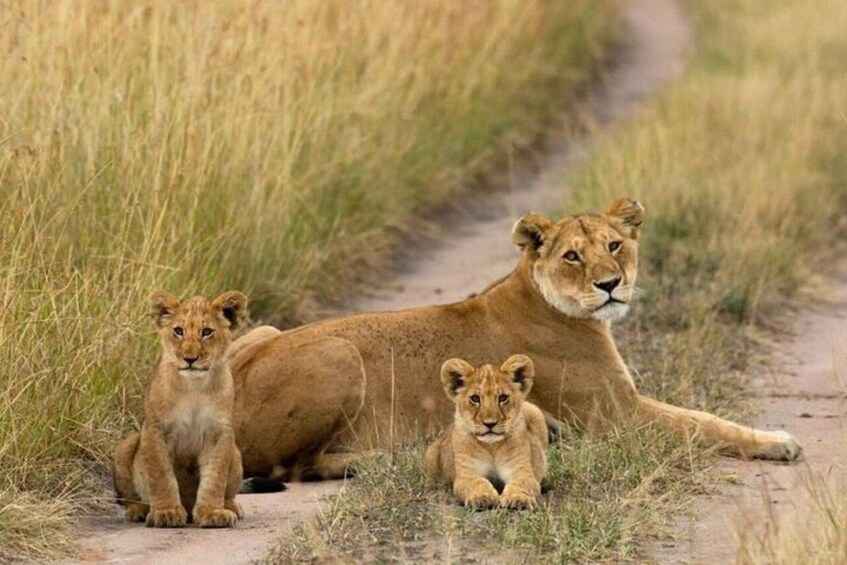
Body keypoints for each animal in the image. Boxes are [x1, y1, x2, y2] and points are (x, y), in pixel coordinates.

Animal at [112, 291, 247, 528]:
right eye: (178, 331)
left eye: (207, 332)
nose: (190, 358)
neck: (193, 387)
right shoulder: (156, 428)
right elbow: (161, 475)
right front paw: (166, 513)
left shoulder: (219, 431)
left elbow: (215, 476)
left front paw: (212, 512)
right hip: (125, 446)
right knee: (129, 497)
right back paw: (139, 510)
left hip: (236, 452)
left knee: (229, 491)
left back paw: (230, 506)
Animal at [231, 197, 801, 479]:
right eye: (572, 256)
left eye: (614, 245)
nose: (610, 284)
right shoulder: (617, 417)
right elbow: (704, 423)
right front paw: (779, 441)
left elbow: (699, 416)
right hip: (340, 350)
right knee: (292, 466)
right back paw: (391, 459)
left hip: (263, 329)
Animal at [425, 355, 548, 509]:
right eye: (475, 399)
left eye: (502, 397)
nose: (490, 423)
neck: (492, 446)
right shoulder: (466, 474)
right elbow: (477, 482)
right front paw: (482, 497)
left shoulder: (521, 470)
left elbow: (522, 483)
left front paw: (518, 498)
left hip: (533, 410)